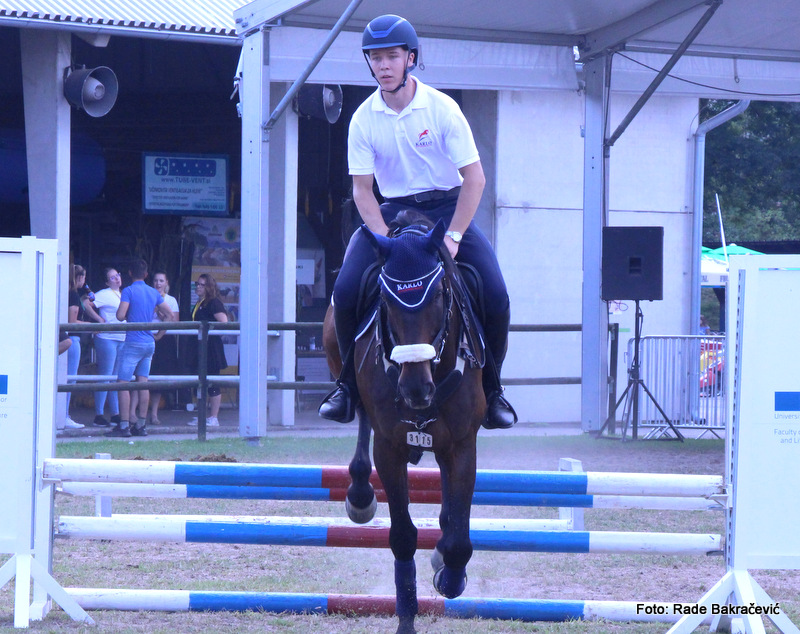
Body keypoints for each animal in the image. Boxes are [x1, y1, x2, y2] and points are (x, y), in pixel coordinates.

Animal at [322, 212, 486, 634]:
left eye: (440, 294)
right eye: (384, 299)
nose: (415, 389)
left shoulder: (463, 445)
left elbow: (458, 536)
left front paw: (449, 574)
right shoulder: (390, 447)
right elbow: (402, 537)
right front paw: (407, 618)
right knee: (360, 417)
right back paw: (360, 494)